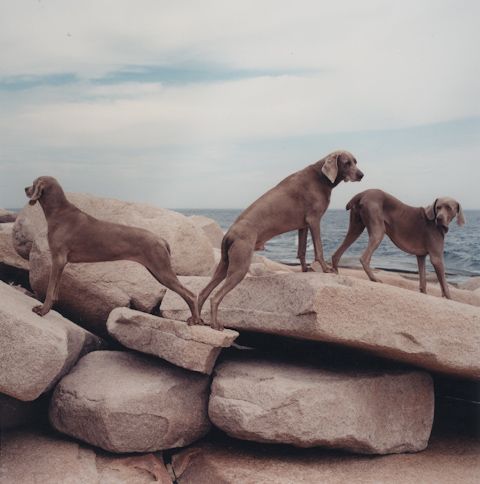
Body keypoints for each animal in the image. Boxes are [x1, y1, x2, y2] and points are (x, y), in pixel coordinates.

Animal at [23, 176, 201, 324]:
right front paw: (47, 308)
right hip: (157, 271)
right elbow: (55, 291)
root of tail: (161, 239)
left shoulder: (58, 259)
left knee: (191, 295)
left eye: (33, 183)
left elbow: (49, 290)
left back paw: (195, 320)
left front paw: (42, 311)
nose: (25, 188)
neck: (59, 212)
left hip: (162, 271)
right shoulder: (62, 263)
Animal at [199, 149, 364, 330]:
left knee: (203, 292)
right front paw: (327, 269)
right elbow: (319, 248)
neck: (320, 177)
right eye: (347, 163)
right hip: (240, 266)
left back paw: (196, 320)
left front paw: (305, 270)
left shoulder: (303, 225)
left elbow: (301, 250)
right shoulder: (314, 220)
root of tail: (229, 234)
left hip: (224, 264)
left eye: (356, 161)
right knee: (215, 297)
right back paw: (215, 324)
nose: (361, 175)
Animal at [332, 189, 464, 298]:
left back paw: (334, 271)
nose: (439, 218)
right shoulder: (436, 257)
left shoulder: (420, 256)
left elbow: (423, 280)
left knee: (337, 252)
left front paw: (424, 293)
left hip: (356, 227)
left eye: (449, 208)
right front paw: (449, 298)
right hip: (378, 230)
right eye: (438, 207)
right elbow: (444, 285)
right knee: (364, 258)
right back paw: (374, 278)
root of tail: (362, 193)